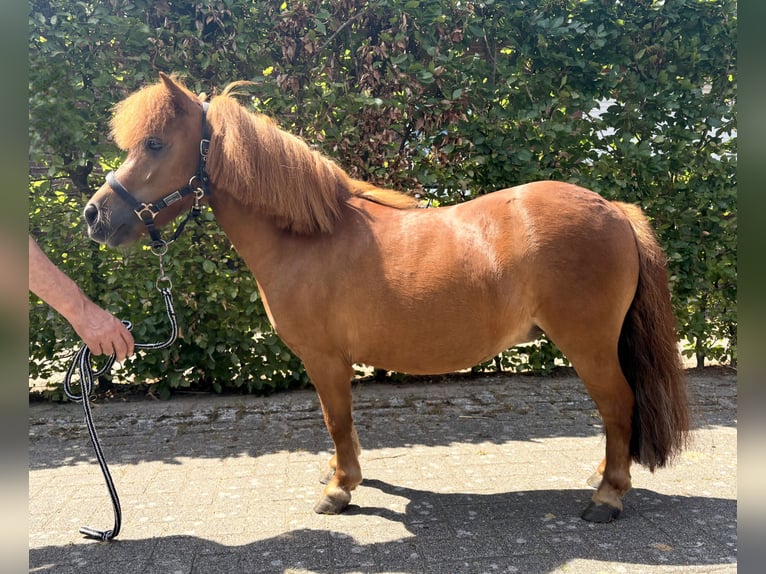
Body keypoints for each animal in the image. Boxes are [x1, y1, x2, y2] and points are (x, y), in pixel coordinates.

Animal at [83, 73, 689, 523]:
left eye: (156, 143)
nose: (94, 216)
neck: (309, 236)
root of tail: (613, 208)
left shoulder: (325, 359)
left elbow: (336, 421)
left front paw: (339, 489)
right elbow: (343, 424)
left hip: (589, 345)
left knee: (618, 405)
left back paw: (607, 497)